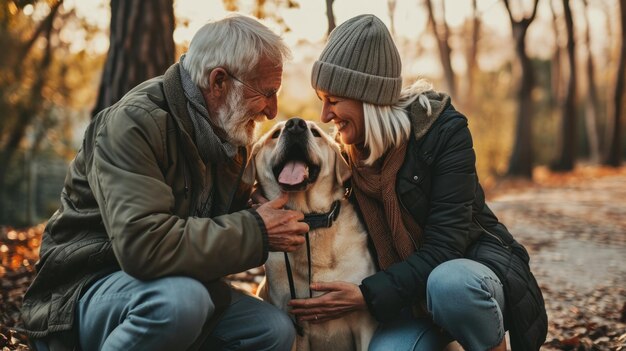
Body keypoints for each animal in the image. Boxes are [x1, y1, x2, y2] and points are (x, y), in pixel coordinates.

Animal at [250, 117, 376, 351]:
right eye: (275, 134)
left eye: (316, 132)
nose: (295, 125)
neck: (309, 219)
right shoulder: (296, 323)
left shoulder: (364, 323)